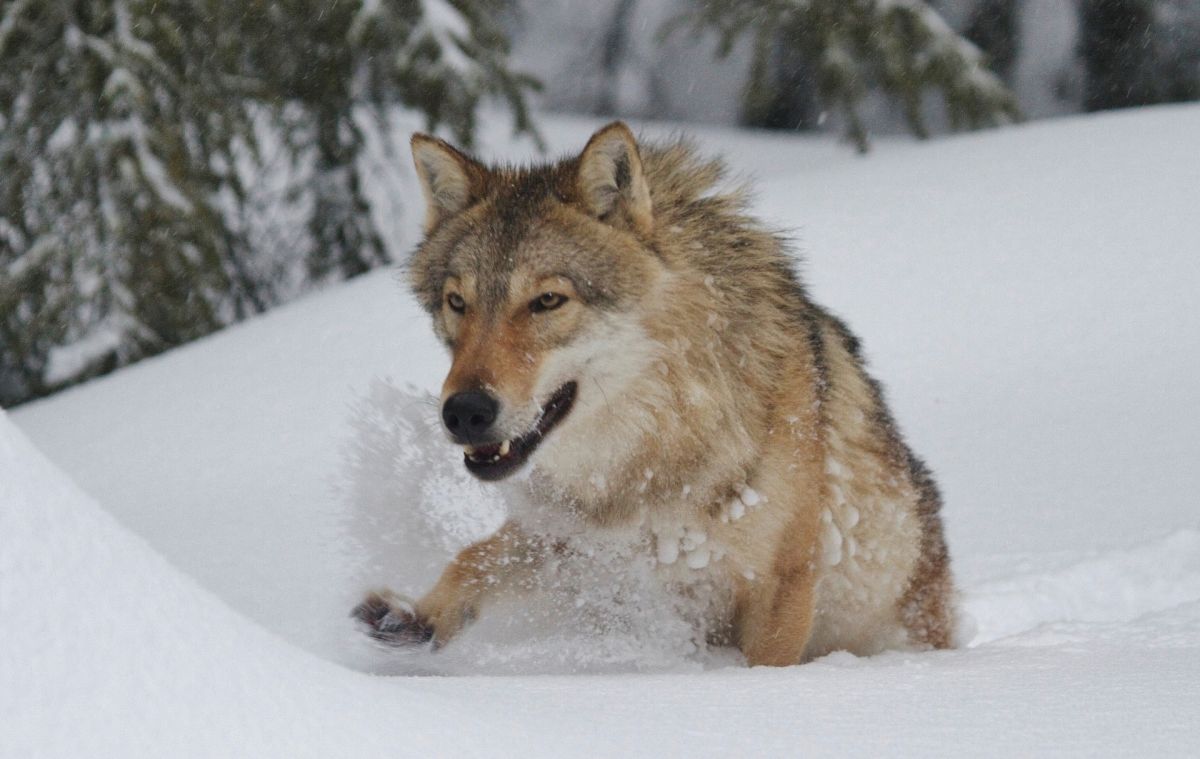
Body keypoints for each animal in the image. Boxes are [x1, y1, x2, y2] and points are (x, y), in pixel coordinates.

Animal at [353, 122, 956, 666]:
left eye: (547, 301)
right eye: (458, 303)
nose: (464, 412)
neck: (654, 446)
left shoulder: (782, 586)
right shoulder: (576, 541)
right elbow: (476, 555)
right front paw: (417, 617)